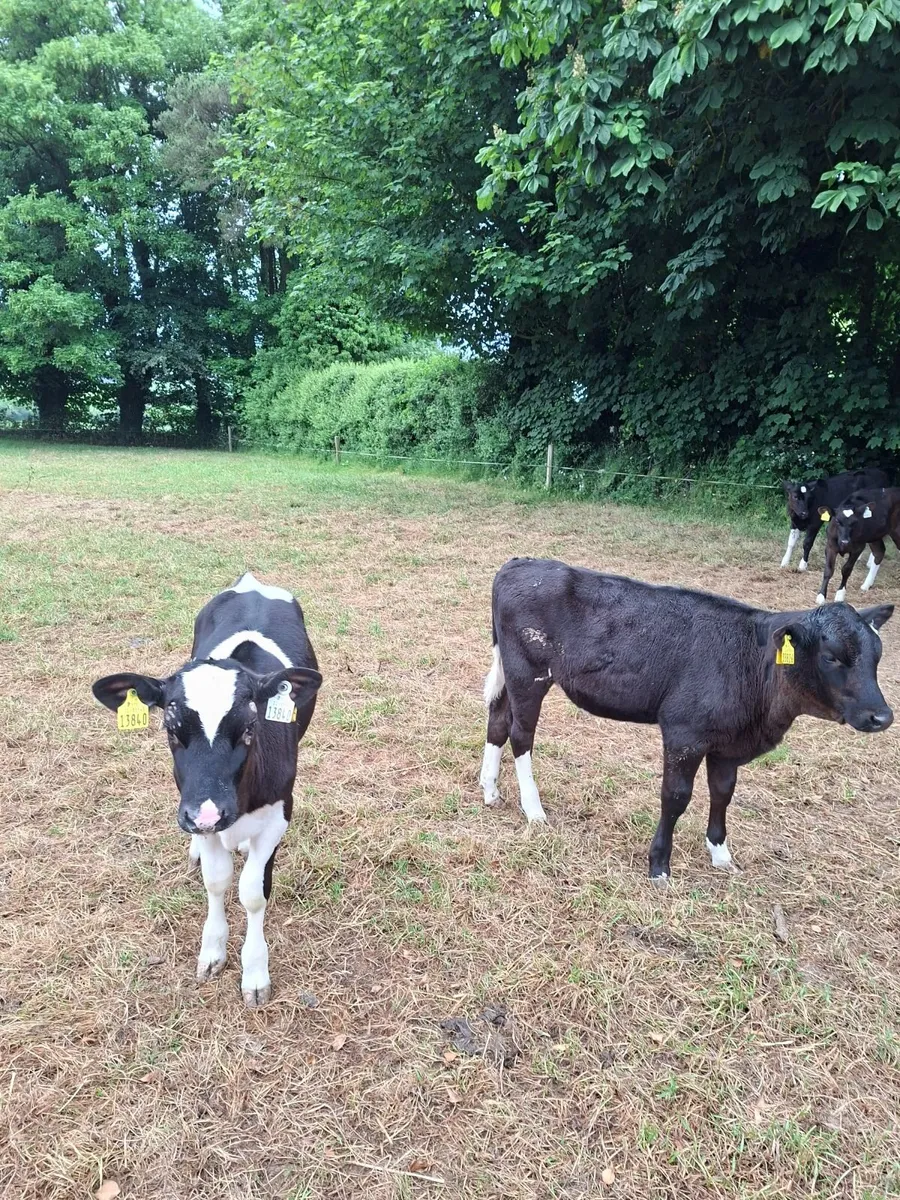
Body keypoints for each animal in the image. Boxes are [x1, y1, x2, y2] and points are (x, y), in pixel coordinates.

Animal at [92, 572, 322, 1007]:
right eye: (170, 729)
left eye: (250, 727)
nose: (208, 815)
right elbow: (217, 881)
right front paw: (213, 950)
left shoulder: (280, 813)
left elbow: (252, 891)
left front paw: (254, 973)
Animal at [479, 558, 893, 884]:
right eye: (832, 656)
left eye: (877, 654)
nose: (882, 716)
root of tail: (519, 563)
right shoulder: (684, 733)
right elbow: (676, 796)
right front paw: (659, 865)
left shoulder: (728, 743)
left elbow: (723, 793)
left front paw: (721, 853)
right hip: (528, 674)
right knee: (521, 734)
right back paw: (534, 811)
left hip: (512, 673)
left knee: (497, 720)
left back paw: (490, 790)